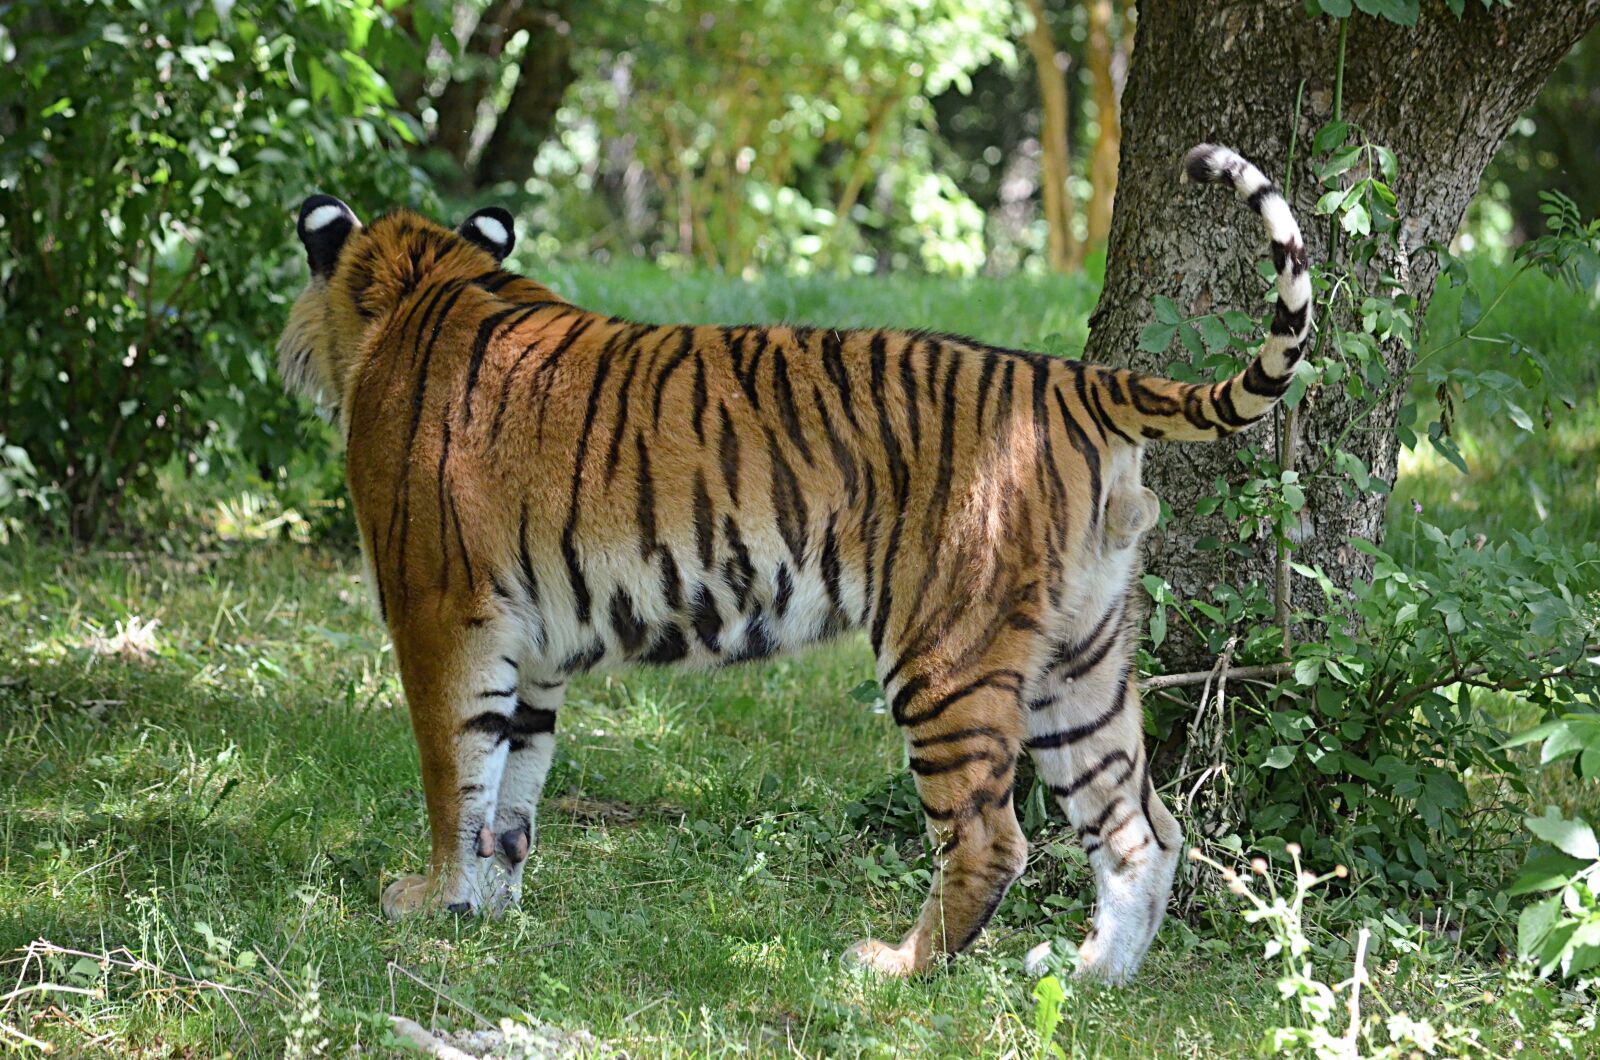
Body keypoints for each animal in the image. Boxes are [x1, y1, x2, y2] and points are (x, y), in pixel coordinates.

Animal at [275, 144, 1311, 983]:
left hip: (946, 653)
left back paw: (894, 968)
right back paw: (1092, 977)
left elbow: (455, 772)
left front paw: (430, 905)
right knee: (1142, 830)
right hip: (1081, 660)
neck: (425, 284)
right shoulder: (531, 648)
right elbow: (512, 791)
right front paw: (490, 913)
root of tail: (1072, 379)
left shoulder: (439, 611)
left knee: (990, 837)